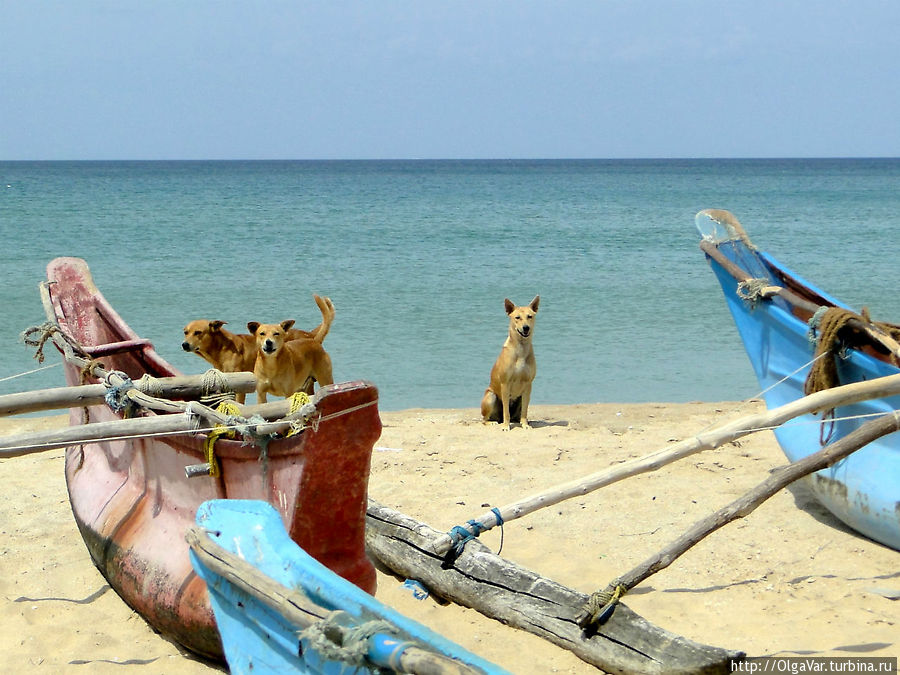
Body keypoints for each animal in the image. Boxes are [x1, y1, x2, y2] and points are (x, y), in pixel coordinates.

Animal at [182, 296, 334, 402]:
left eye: (198, 332)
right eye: (185, 332)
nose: (184, 344)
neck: (223, 349)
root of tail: (311, 336)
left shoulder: (240, 388)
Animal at [478, 298, 540, 434]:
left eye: (530, 316)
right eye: (517, 317)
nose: (526, 328)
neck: (521, 349)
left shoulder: (528, 384)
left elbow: (525, 411)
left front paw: (525, 424)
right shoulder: (505, 384)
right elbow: (506, 411)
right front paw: (506, 426)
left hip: (521, 398)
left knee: (519, 414)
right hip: (491, 397)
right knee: (485, 419)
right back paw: (493, 422)